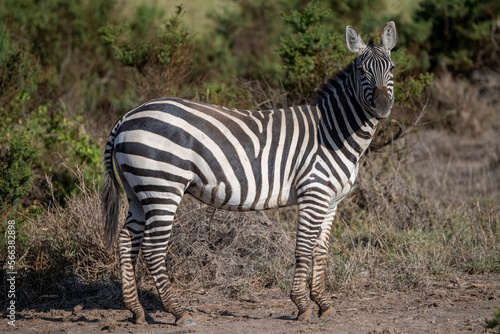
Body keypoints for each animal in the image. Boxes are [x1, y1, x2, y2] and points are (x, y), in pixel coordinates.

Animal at [101, 21, 398, 326]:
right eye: (362, 71)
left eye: (392, 68)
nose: (382, 107)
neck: (333, 132)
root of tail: (127, 117)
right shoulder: (313, 193)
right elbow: (304, 248)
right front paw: (302, 305)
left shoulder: (331, 201)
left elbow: (320, 251)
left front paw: (323, 304)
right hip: (162, 187)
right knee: (152, 248)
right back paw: (178, 311)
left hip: (138, 191)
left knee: (126, 240)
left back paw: (136, 310)